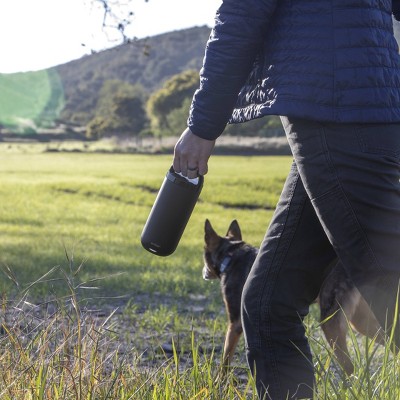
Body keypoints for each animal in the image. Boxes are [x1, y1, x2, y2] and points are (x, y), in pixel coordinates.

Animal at [203, 219, 384, 376]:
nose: (204, 272)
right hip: (360, 322)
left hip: (331, 323)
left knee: (349, 366)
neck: (231, 255)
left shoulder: (235, 324)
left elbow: (226, 358)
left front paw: (219, 382)